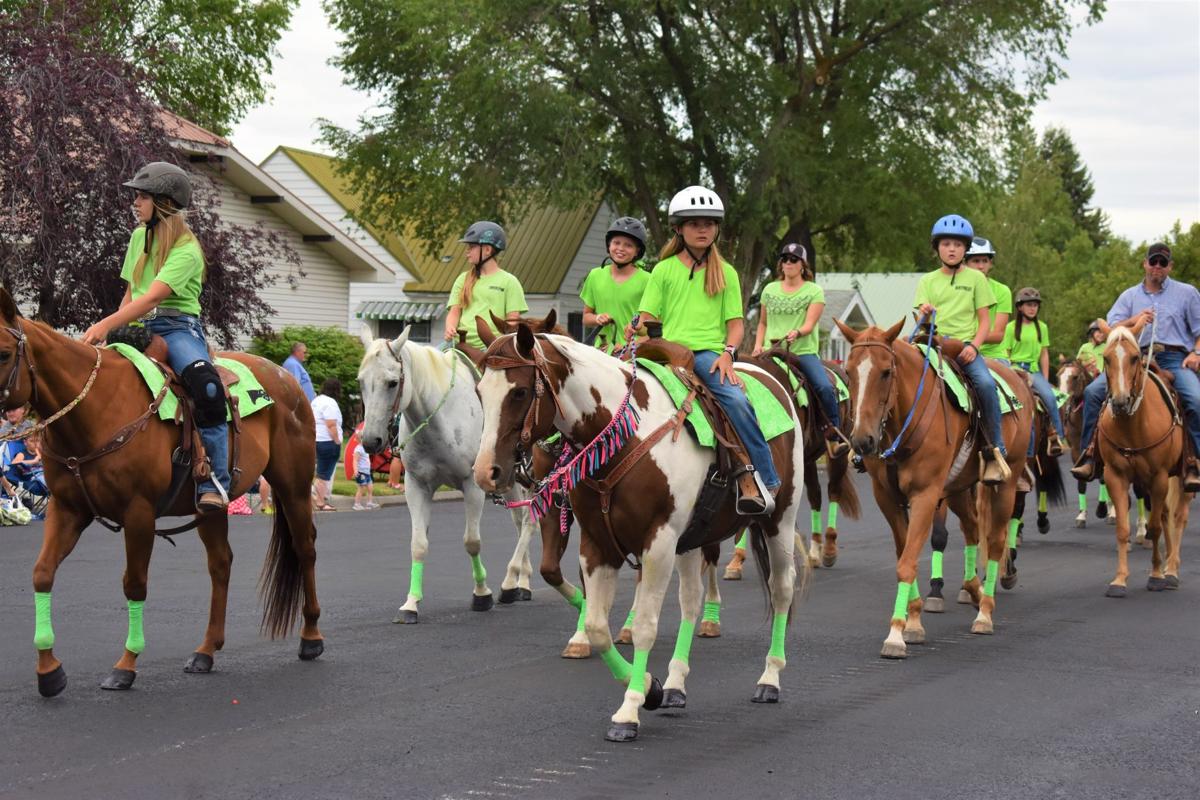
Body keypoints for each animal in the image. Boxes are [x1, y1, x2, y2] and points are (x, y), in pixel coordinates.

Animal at [0, 284, 324, 695]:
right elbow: (42, 573)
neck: (96, 409)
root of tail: (286, 378)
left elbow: (134, 584)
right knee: (221, 563)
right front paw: (49, 670)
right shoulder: (67, 509)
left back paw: (311, 637)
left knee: (305, 549)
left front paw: (125, 665)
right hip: (210, 506)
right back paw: (206, 651)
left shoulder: (138, 513)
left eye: (4, 353)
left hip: (293, 486)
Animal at [352, 326, 537, 623]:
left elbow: (472, 542)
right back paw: (521, 583)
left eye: (392, 383)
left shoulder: (472, 486)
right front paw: (411, 604)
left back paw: (511, 582)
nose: (370, 440)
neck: (441, 420)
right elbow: (418, 544)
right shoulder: (416, 486)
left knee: (529, 522)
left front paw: (482, 594)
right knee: (520, 521)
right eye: (360, 381)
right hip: (510, 479)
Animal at [472, 326, 801, 743]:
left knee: (782, 589)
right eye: (479, 391)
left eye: (518, 392)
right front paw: (651, 688)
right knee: (691, 600)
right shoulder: (597, 545)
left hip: (780, 520)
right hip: (692, 541)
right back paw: (675, 685)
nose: (486, 472)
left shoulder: (657, 545)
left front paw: (628, 712)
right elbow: (598, 628)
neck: (628, 434)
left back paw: (770, 678)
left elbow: (644, 627)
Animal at [835, 316, 1032, 662]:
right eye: (848, 371)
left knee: (995, 542)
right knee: (972, 529)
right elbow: (905, 554)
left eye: (886, 372)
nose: (862, 441)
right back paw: (972, 590)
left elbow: (907, 563)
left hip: (1006, 483)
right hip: (957, 490)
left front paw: (896, 634)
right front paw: (913, 620)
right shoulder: (886, 498)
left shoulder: (925, 495)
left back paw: (985, 612)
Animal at [1099, 323, 1190, 594]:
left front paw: (1157, 576)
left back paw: (1172, 570)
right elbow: (1123, 529)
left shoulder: (1159, 477)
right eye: (1106, 358)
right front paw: (1119, 580)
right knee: (1166, 514)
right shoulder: (1115, 476)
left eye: (1134, 358)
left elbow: (1156, 527)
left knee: (1178, 517)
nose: (1120, 402)